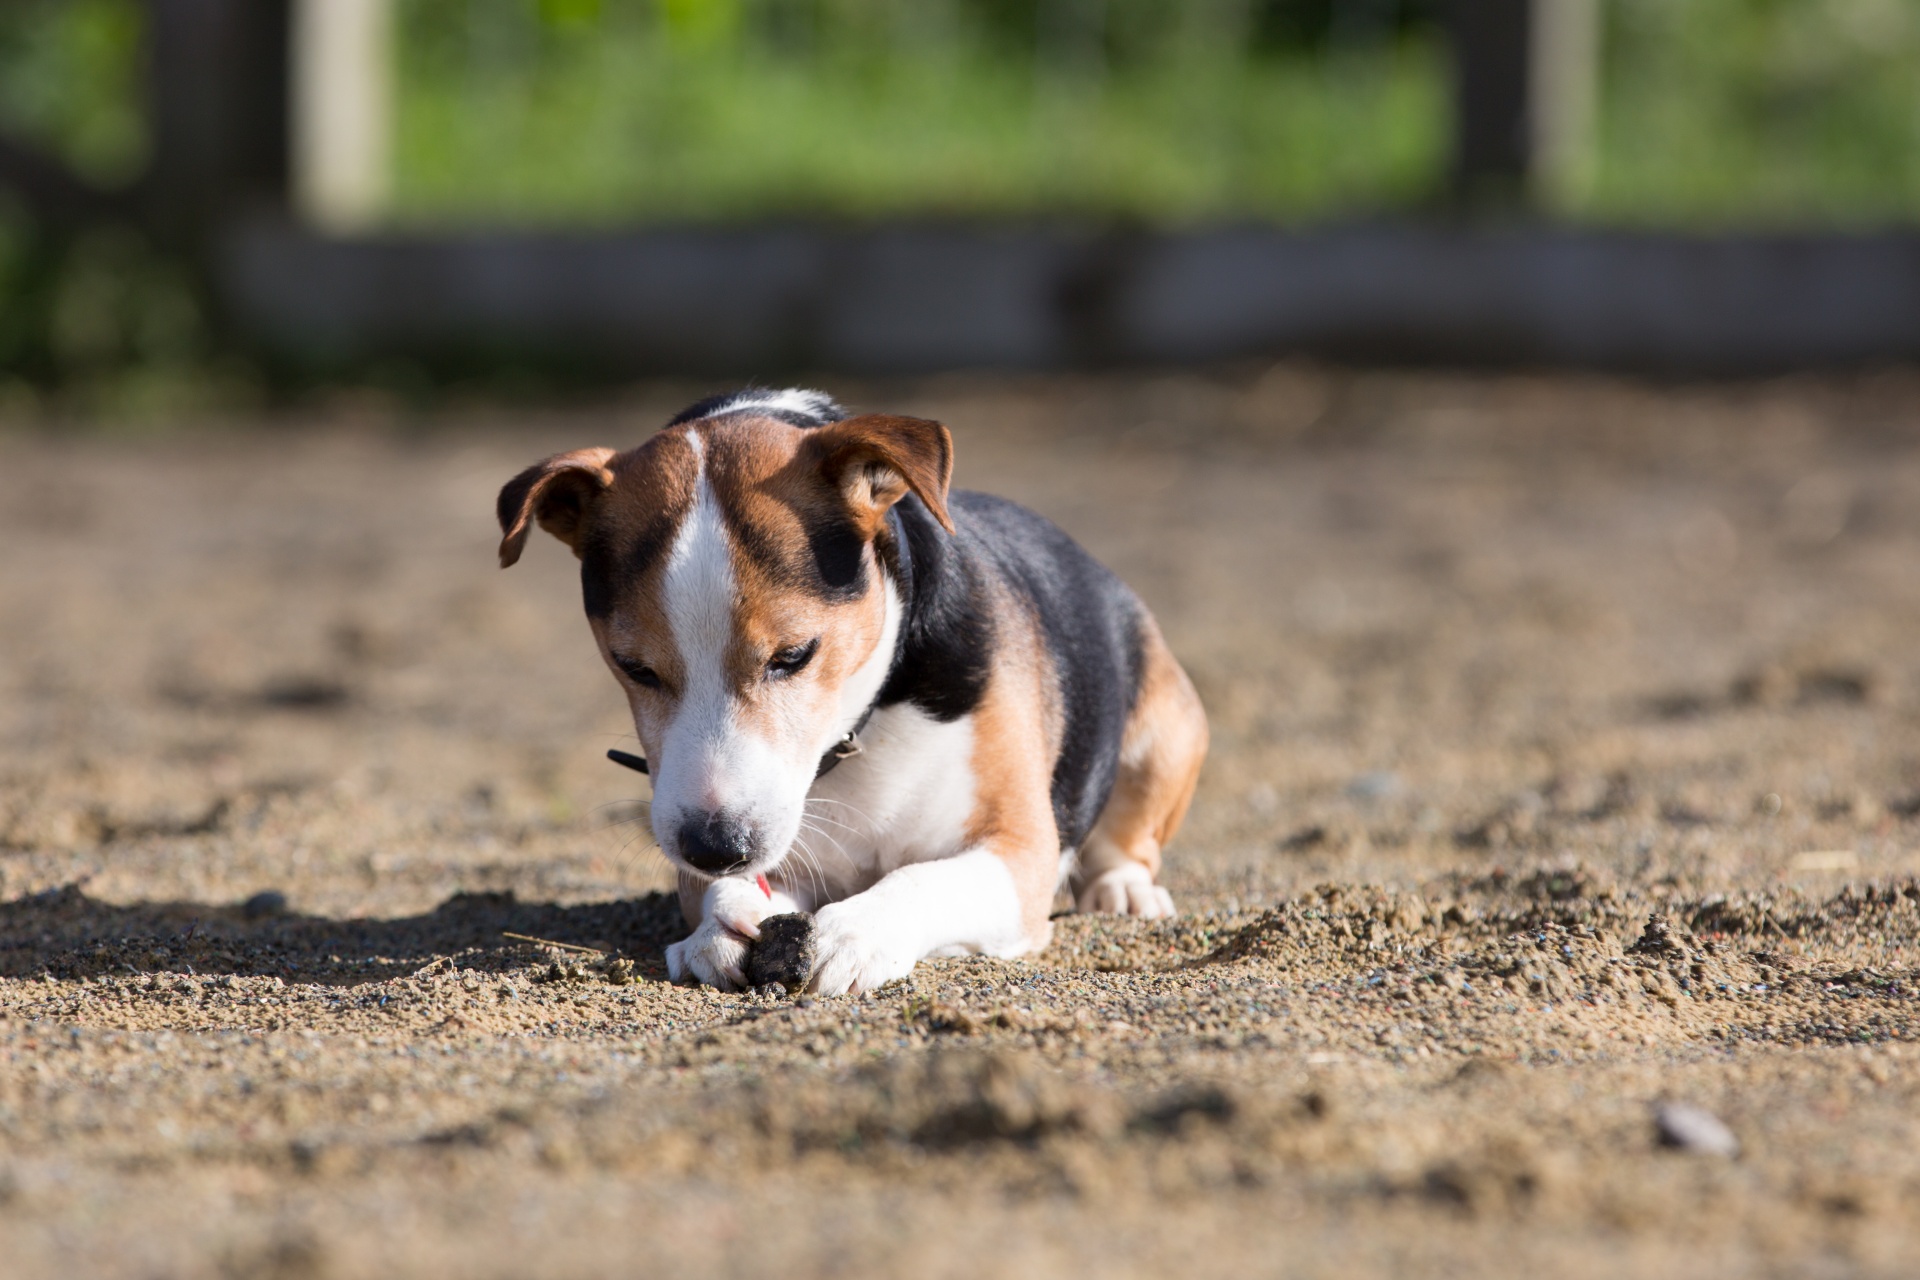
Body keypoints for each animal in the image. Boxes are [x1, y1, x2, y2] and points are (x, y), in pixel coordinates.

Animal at [503, 385, 1205, 997]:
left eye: (794, 655)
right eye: (634, 667)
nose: (715, 847)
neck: (860, 728)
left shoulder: (1018, 853)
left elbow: (922, 879)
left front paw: (858, 931)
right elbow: (725, 895)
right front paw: (718, 923)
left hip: (1163, 733)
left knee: (1127, 837)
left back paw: (1123, 889)